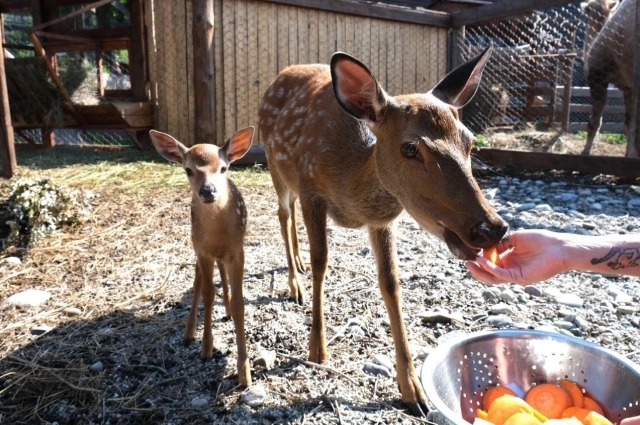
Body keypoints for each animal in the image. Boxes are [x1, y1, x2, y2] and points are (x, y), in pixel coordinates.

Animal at [150, 126, 255, 388]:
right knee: (198, 279)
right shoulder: (202, 250)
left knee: (221, 274)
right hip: (195, 245)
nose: (208, 191)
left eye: (224, 168)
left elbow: (239, 302)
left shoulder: (237, 250)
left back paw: (226, 310)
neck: (218, 234)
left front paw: (244, 372)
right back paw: (188, 333)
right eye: (188, 170)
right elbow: (208, 294)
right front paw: (206, 349)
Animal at [258, 48, 508, 416]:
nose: (492, 227)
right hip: (277, 166)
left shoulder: (382, 222)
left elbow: (390, 284)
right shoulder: (310, 187)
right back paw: (294, 283)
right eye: (409, 148)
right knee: (282, 214)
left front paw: (412, 390)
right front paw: (317, 348)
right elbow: (322, 262)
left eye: (470, 142)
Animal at [584, 0, 636, 157]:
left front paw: (585, 153)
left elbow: (594, 122)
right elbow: (628, 126)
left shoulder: (597, 76)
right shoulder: (628, 88)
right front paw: (628, 155)